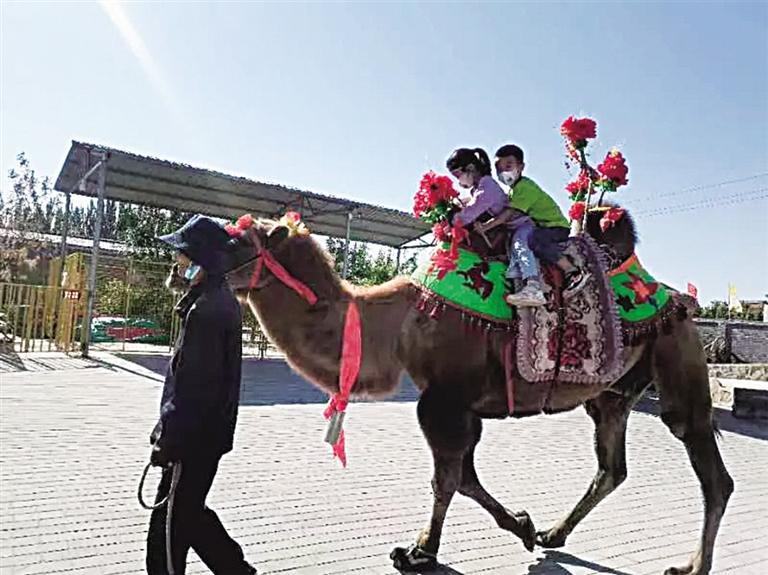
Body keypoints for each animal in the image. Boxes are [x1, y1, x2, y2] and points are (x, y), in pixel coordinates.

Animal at [194, 208, 732, 575]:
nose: (187, 258)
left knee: (709, 467)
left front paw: (418, 552)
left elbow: (446, 479)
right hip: (612, 393)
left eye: (235, 238)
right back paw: (555, 532)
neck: (398, 323)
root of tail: (680, 302)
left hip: (677, 357)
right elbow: (466, 478)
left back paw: (691, 567)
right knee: (611, 466)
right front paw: (523, 526)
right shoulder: (458, 405)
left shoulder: (442, 401)